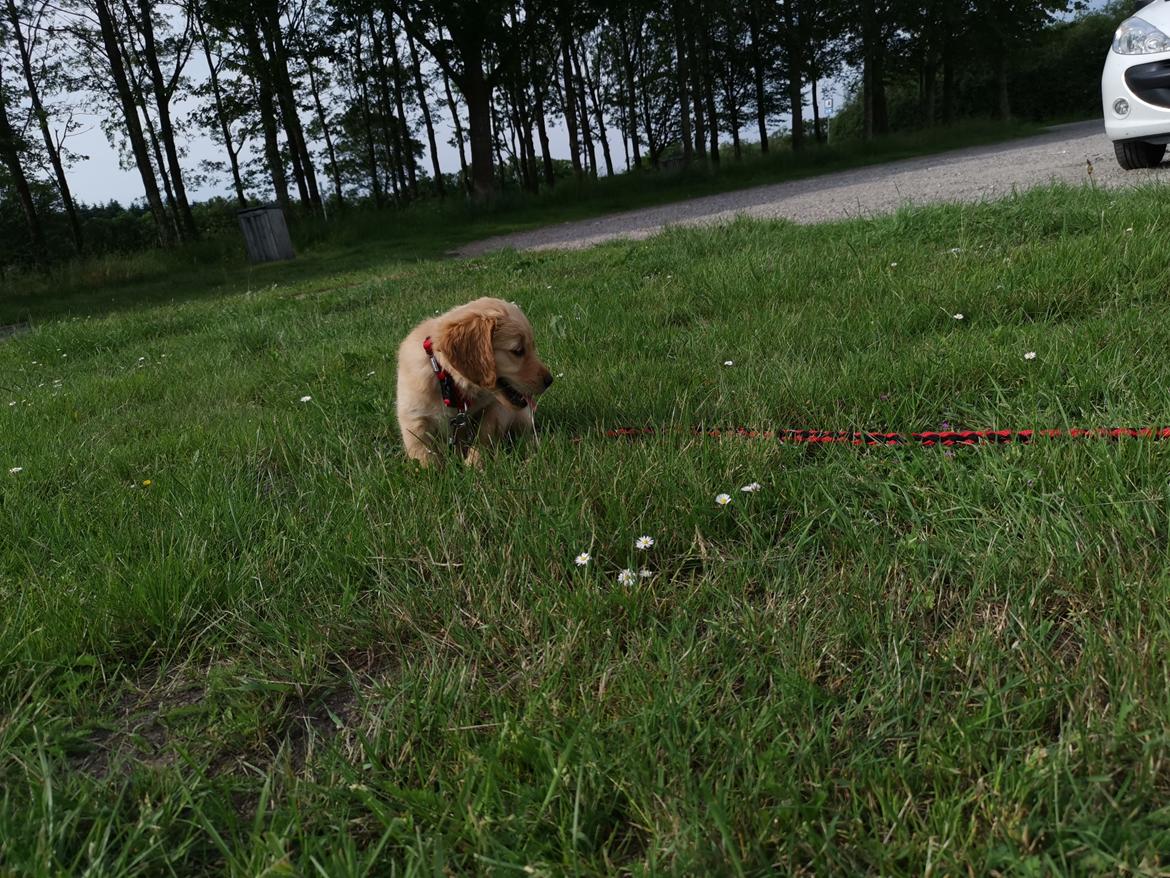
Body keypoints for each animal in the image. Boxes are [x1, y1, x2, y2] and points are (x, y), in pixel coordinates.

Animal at [397, 297, 552, 468]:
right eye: (518, 351)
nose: (550, 380)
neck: (450, 385)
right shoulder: (412, 417)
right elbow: (421, 450)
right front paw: (430, 470)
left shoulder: (496, 407)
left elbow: (485, 432)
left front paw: (475, 463)